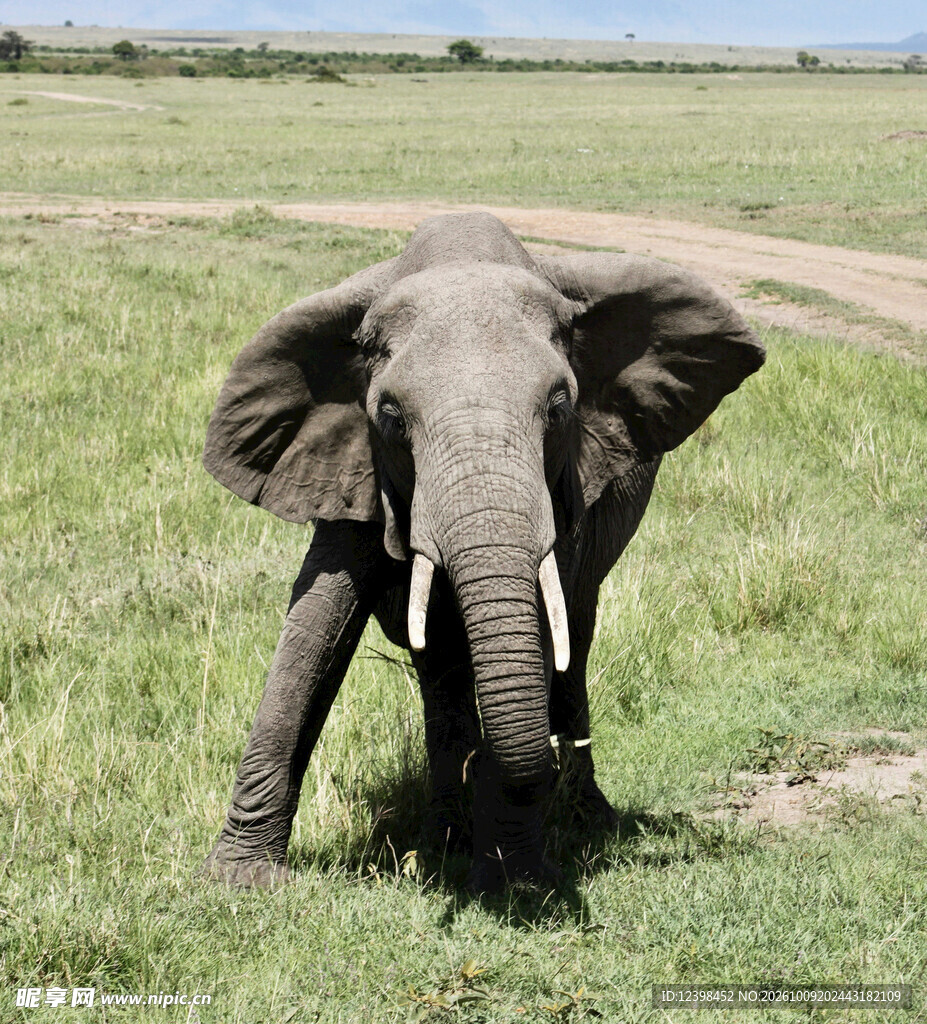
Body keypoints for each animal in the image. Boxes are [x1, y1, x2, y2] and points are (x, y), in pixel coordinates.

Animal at [200, 211, 764, 893]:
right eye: (391, 417)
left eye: (560, 407)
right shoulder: (349, 459)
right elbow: (314, 626)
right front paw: (239, 882)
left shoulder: (569, 478)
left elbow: (542, 624)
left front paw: (514, 880)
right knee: (441, 660)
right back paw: (443, 840)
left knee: (573, 634)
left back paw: (576, 818)